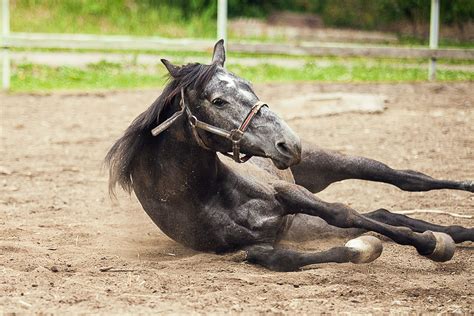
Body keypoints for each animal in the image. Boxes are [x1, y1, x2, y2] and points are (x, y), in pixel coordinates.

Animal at [104, 40, 474, 272]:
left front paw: (429, 244)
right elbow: (293, 259)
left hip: (331, 164)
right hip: (306, 220)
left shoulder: (290, 193)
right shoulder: (250, 249)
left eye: (249, 85)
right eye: (218, 101)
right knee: (385, 212)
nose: (288, 144)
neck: (208, 193)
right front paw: (370, 247)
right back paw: (455, 232)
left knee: (407, 178)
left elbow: (343, 212)